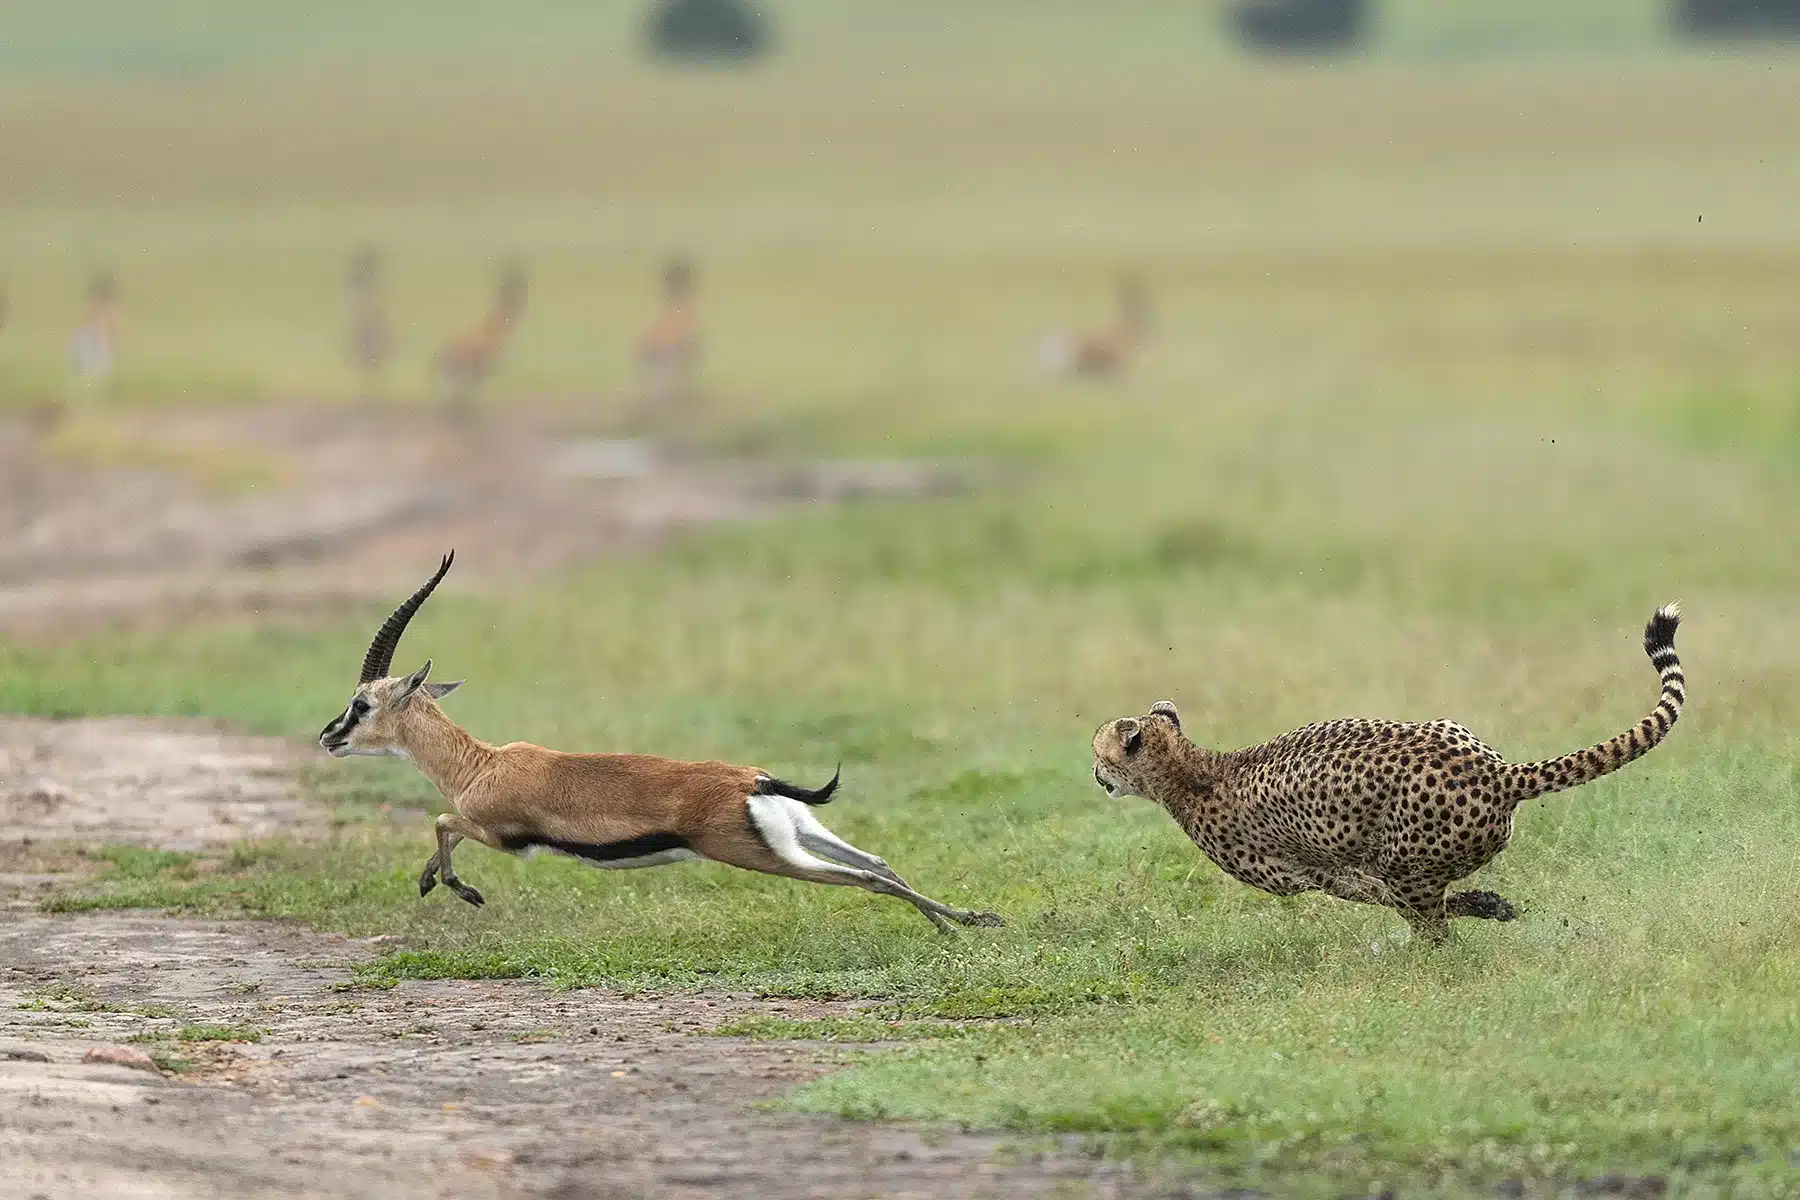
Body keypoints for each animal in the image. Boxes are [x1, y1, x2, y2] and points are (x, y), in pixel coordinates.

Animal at [316, 557, 1008, 935]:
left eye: (362, 704)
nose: (328, 737)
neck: (478, 766)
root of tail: (753, 782)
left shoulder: (501, 834)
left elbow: (441, 821)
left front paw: (457, 889)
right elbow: (441, 827)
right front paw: (434, 882)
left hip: (764, 856)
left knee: (867, 879)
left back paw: (965, 927)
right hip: (800, 835)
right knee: (881, 864)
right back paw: (966, 923)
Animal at [1087, 604, 1692, 942]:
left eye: (1101, 753)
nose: (1093, 773)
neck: (1192, 770)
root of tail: (1498, 771)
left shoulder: (1309, 873)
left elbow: (1383, 898)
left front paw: (1481, 906)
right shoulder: (1336, 868)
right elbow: (1382, 894)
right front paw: (1489, 904)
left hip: (1406, 859)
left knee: (1430, 925)